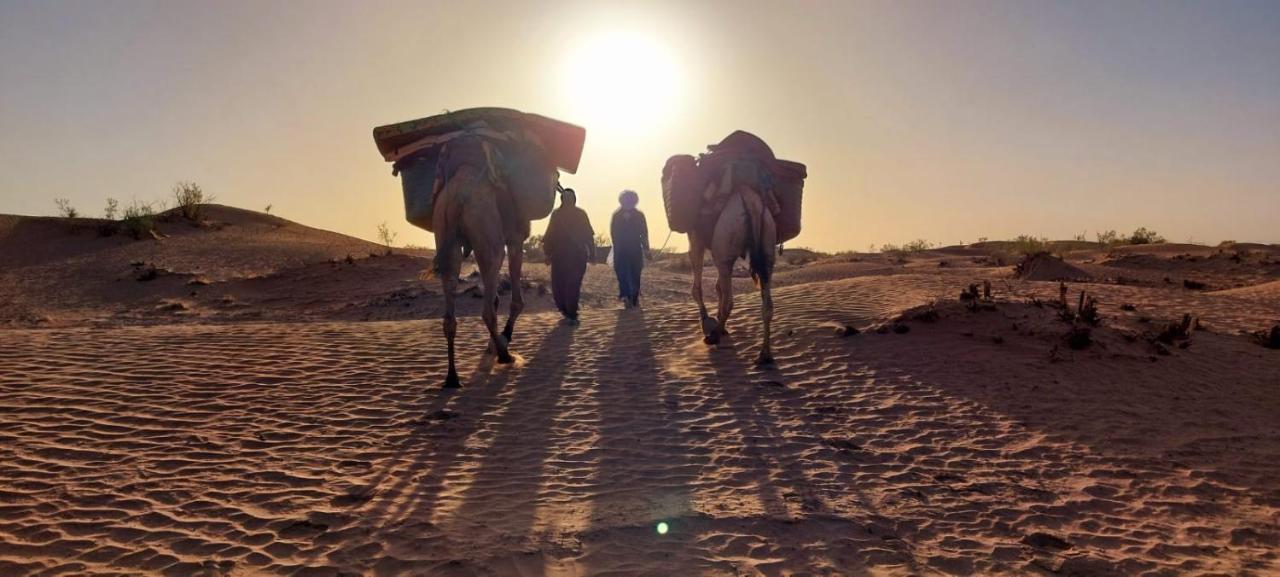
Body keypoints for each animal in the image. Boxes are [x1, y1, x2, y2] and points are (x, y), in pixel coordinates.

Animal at [686, 185, 773, 365]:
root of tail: (751, 202)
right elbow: (718, 287)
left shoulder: (695, 236)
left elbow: (697, 286)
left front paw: (705, 318)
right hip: (768, 246)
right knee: (767, 304)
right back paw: (764, 355)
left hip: (725, 243)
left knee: (730, 300)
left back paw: (714, 335)